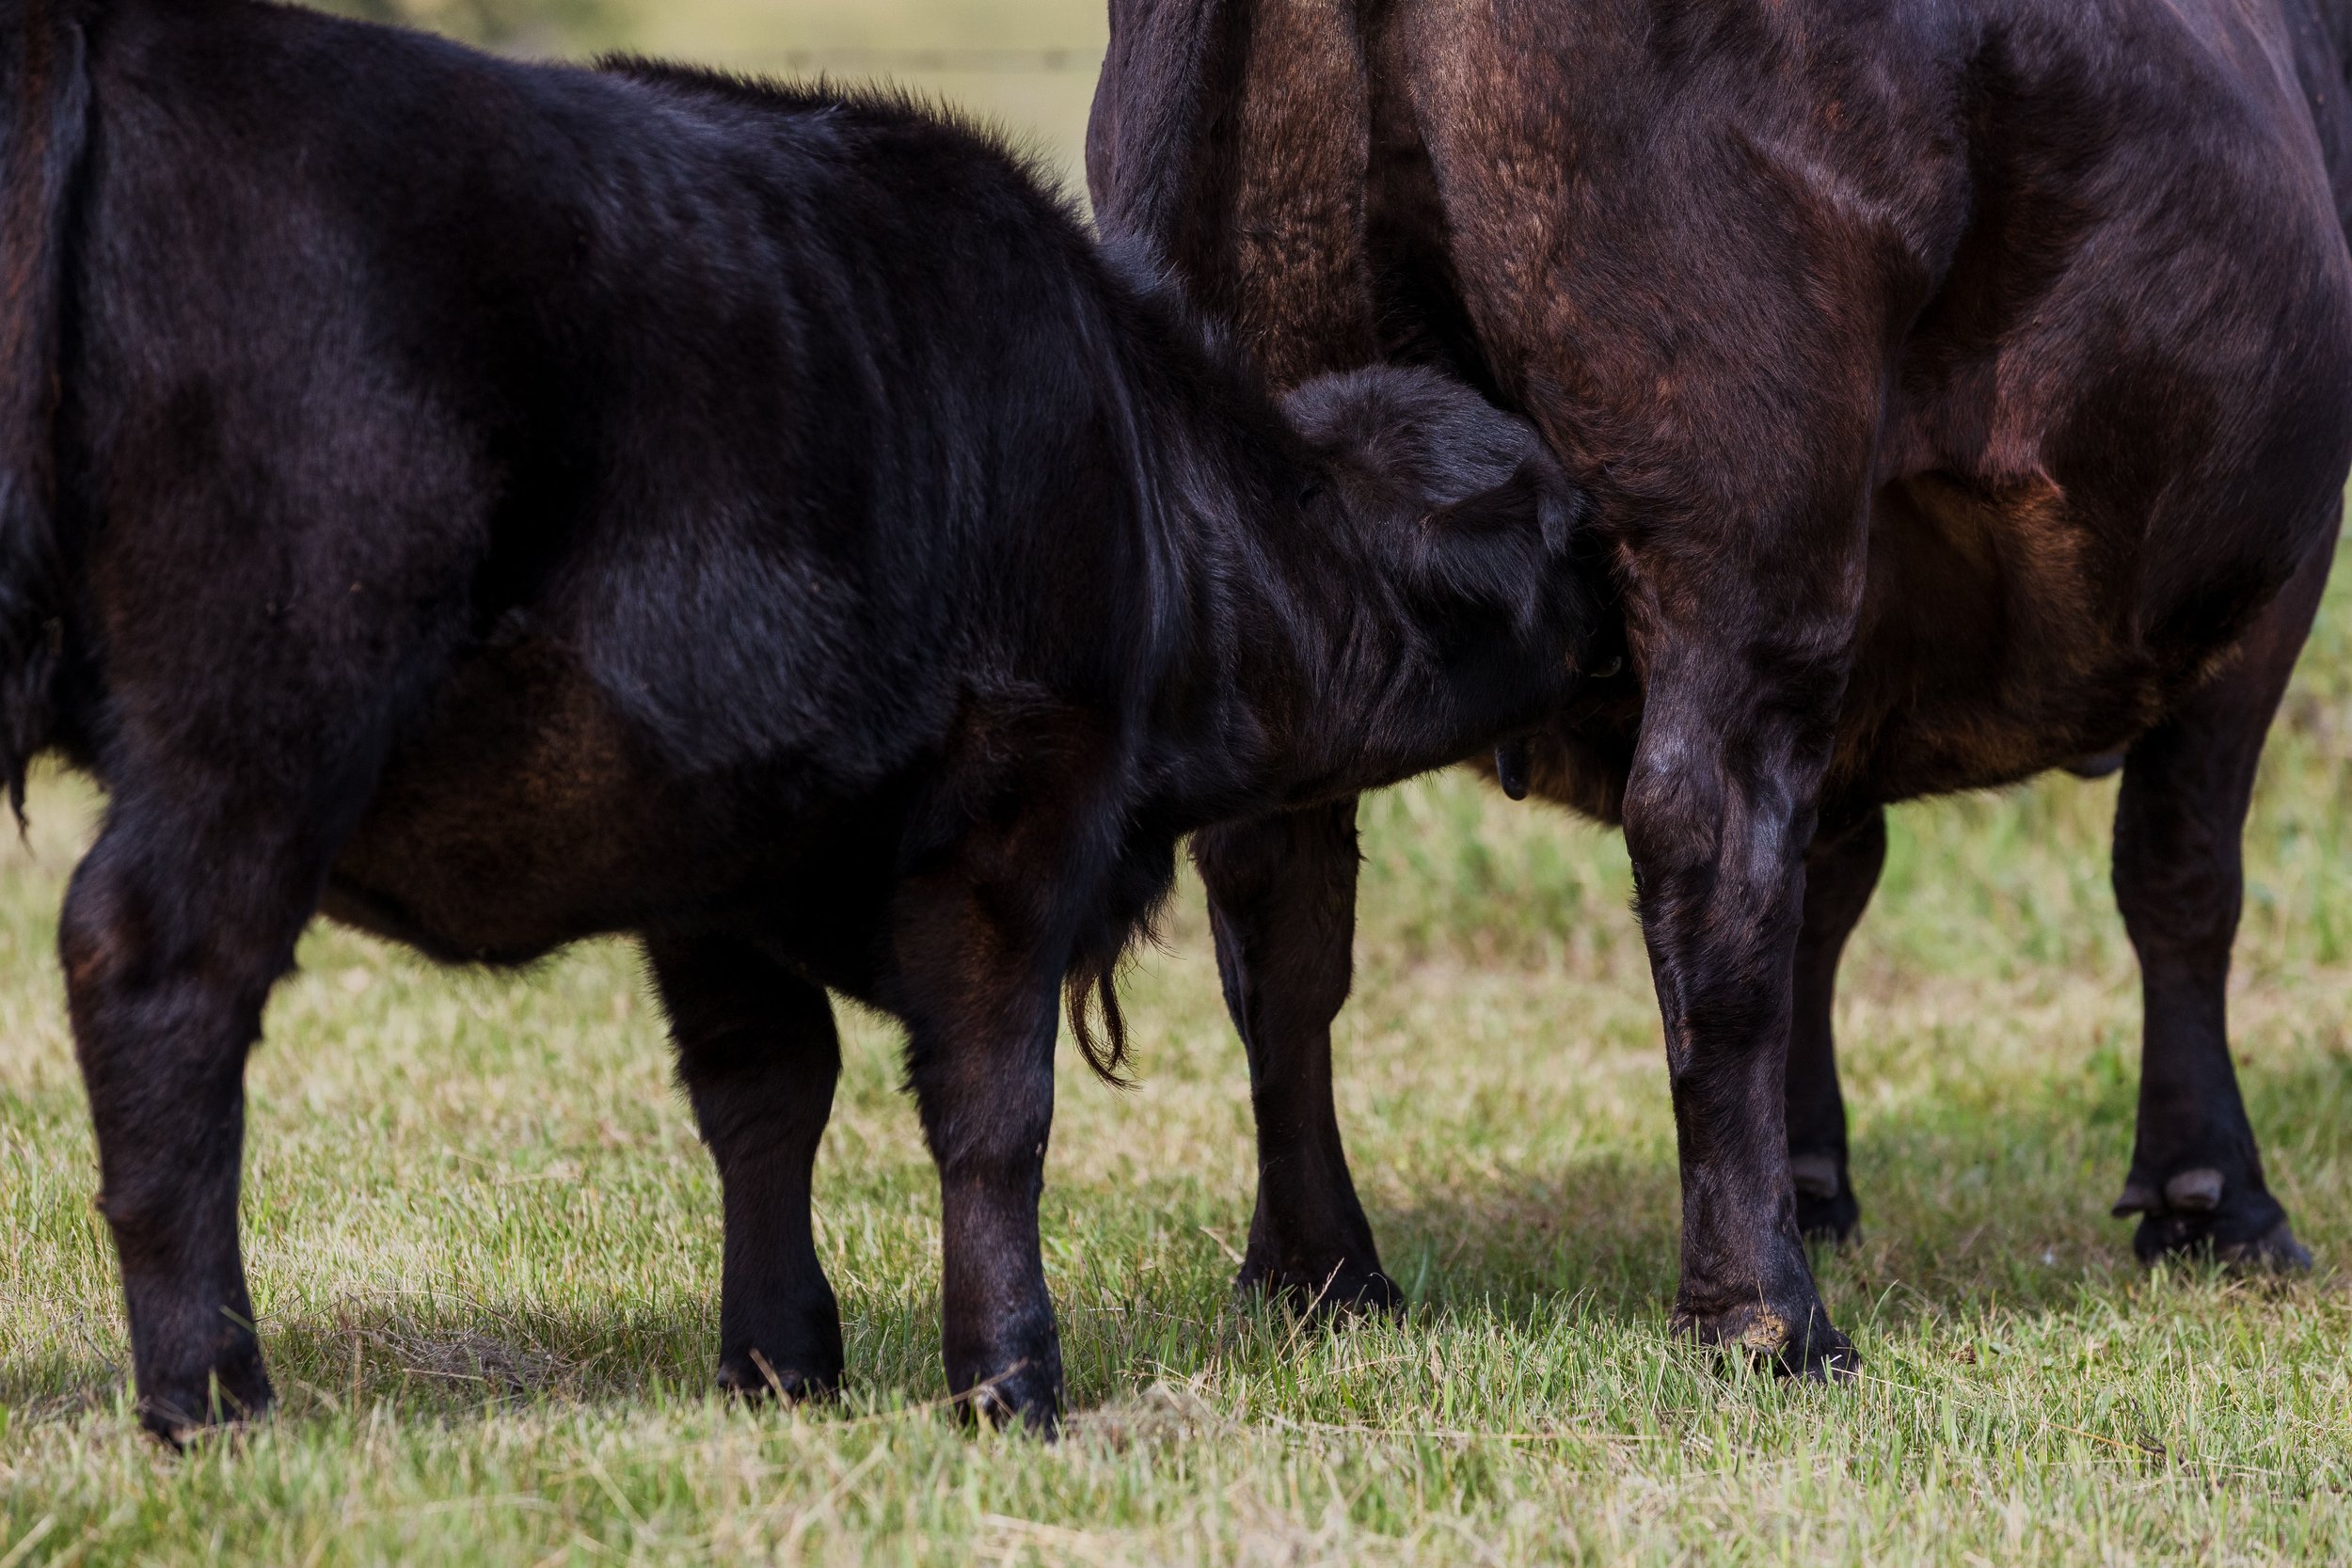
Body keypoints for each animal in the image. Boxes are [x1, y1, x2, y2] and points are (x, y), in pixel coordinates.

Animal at [0, 0, 1606, 1441]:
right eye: (1565, 533)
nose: (1630, 599)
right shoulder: (1020, 804)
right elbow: (992, 1105)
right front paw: (1010, 1379)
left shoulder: (711, 861)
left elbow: (766, 1093)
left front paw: (779, 1361)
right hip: (263, 711)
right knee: (155, 970)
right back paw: (216, 1396)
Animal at [1088, 0, 2352, 1376]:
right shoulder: (2268, 571)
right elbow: (2181, 874)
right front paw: (2212, 1197)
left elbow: (1835, 887)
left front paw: (1815, 1173)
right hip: (1748, 507)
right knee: (1712, 842)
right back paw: (1765, 1312)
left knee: (1283, 897)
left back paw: (1319, 1270)